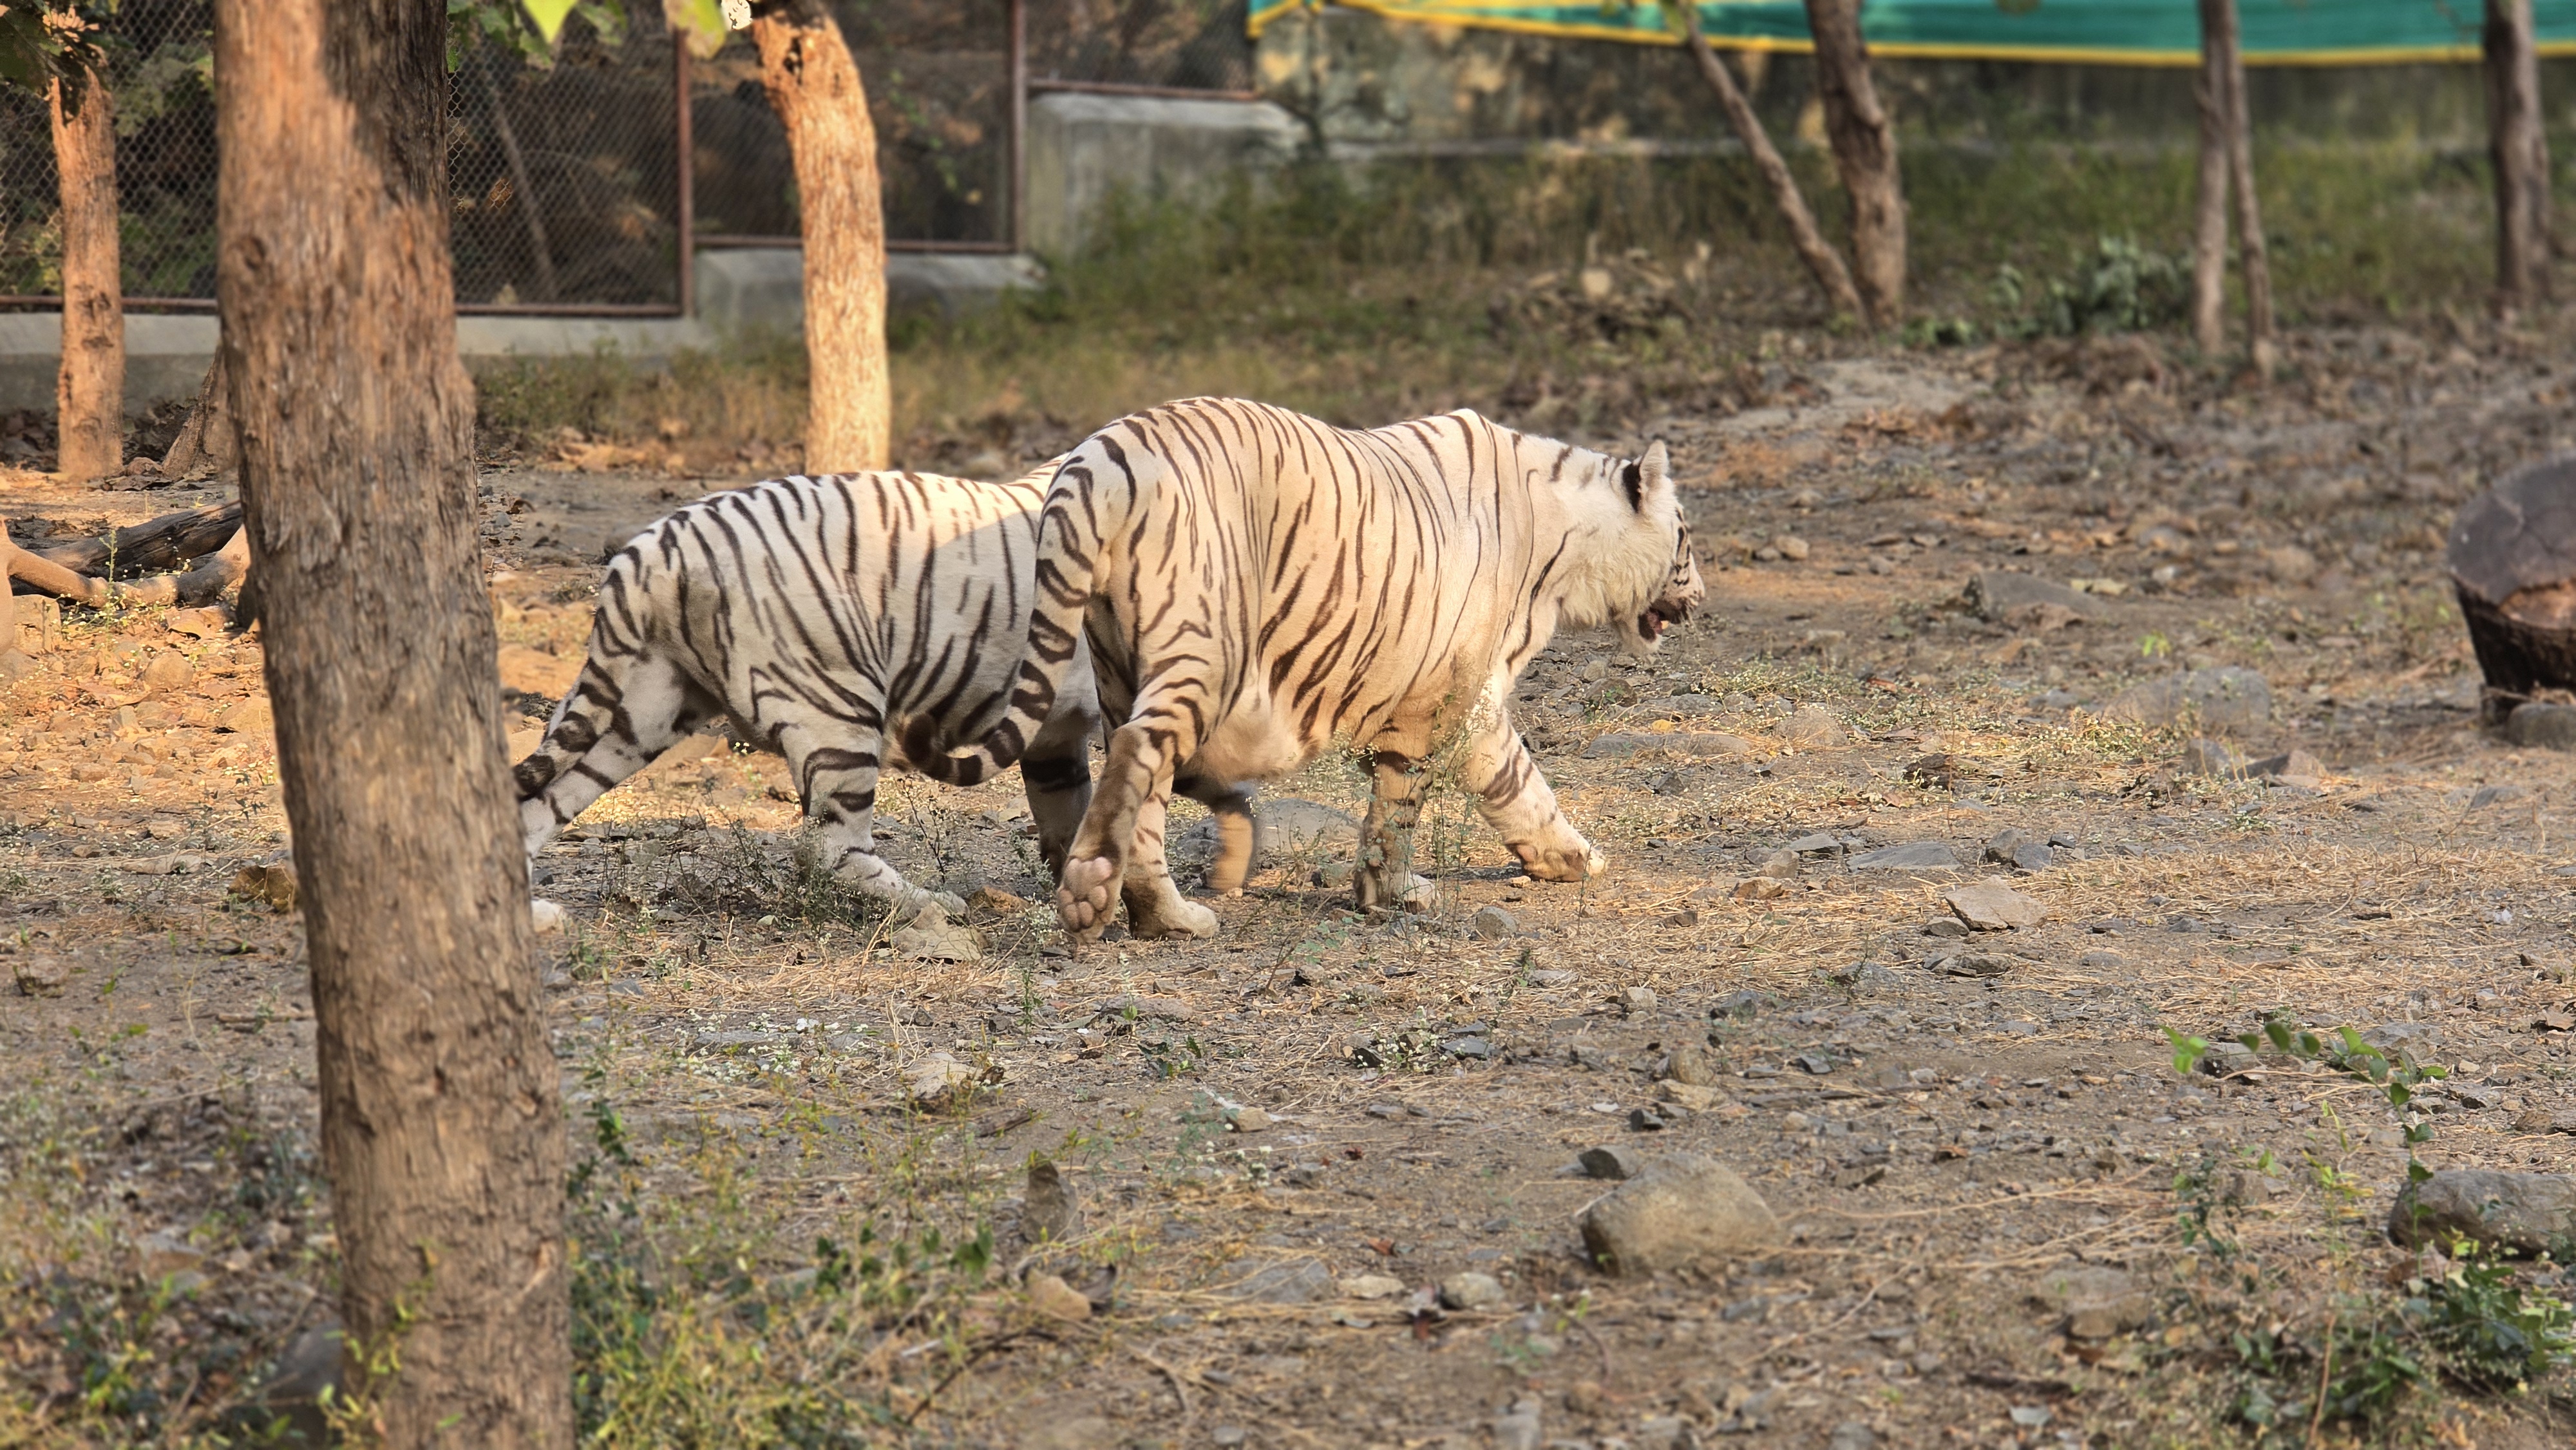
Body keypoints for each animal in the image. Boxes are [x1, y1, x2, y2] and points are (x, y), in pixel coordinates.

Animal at [507, 466, 1252, 917]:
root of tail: (657, 544)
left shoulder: (1057, 738)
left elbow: (1076, 815)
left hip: (641, 709)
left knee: (540, 801)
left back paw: (537, 914)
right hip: (840, 707)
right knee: (829, 845)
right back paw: (930, 904)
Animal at [907, 399, 1710, 943]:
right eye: (1684, 536)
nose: (1702, 596)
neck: (1566, 542)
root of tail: (1095, 459)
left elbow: (1490, 787)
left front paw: (1562, 859)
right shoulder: (1456, 692)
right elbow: (1452, 792)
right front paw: (1401, 889)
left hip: (1116, 663)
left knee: (1142, 780)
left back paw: (1166, 913)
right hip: (1206, 648)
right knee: (1140, 752)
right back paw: (1104, 900)